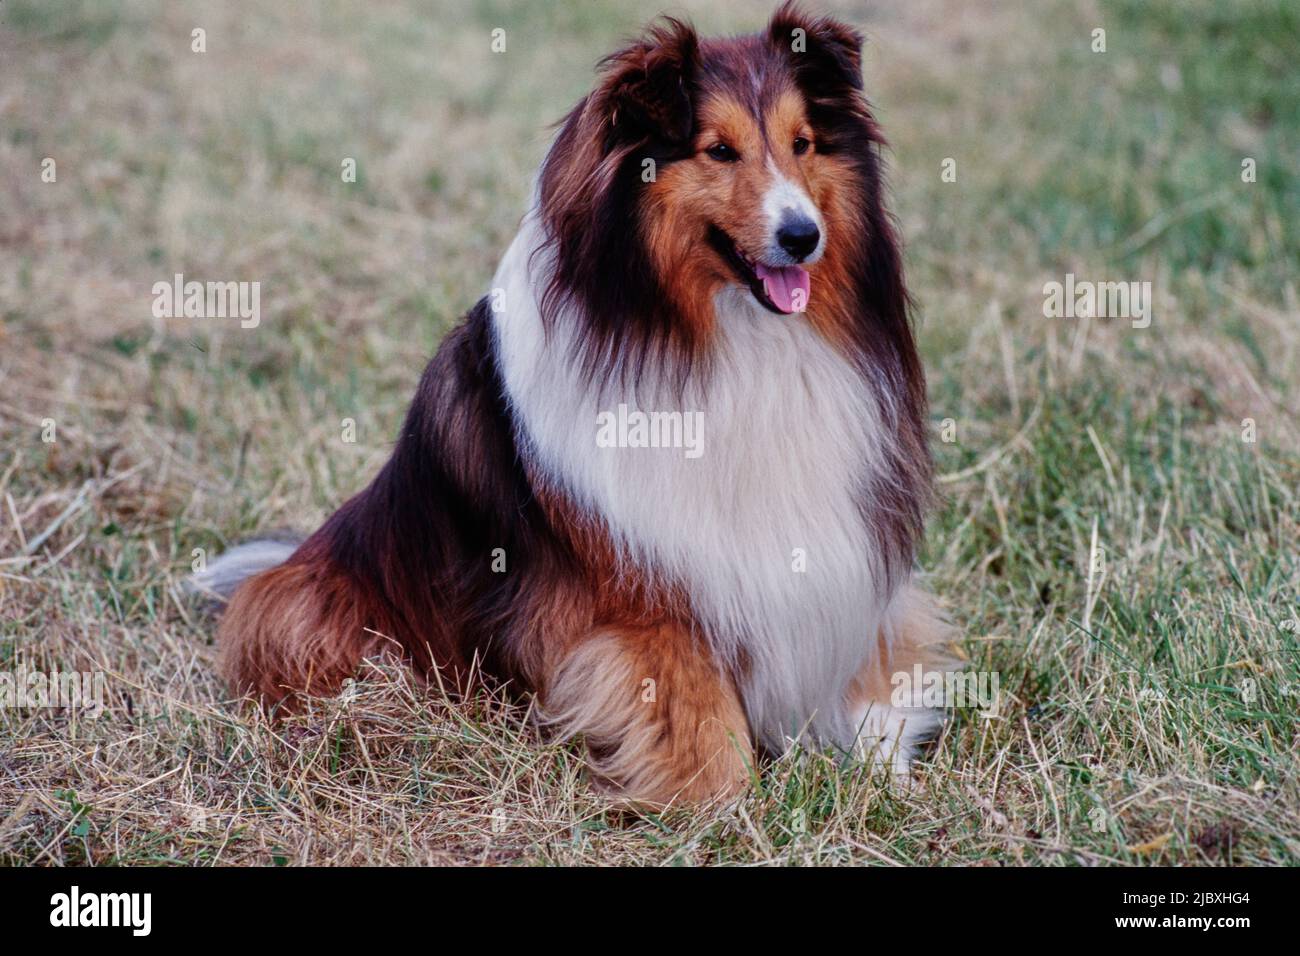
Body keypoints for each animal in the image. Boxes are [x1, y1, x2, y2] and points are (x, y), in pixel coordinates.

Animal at [197, 3, 961, 806]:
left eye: (802, 143)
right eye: (719, 151)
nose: (803, 236)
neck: (717, 334)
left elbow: (873, 666)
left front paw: (883, 772)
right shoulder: (640, 597)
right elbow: (696, 709)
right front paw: (728, 808)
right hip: (320, 605)